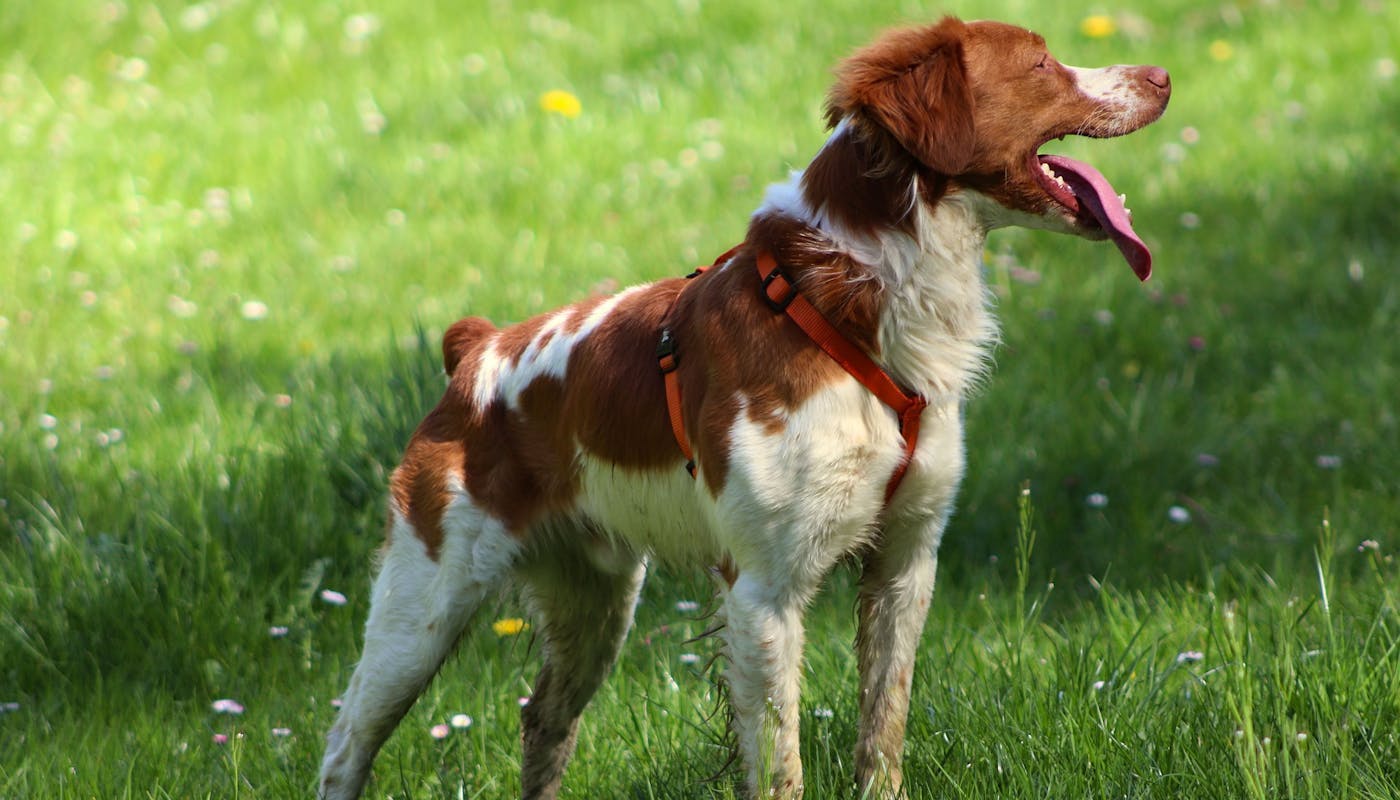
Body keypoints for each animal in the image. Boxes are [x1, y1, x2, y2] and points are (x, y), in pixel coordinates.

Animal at [320, 14, 1170, 800]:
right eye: (1040, 62)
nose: (1163, 75)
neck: (854, 300)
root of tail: (477, 353)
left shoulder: (905, 562)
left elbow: (883, 730)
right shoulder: (764, 588)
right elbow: (781, 762)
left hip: (595, 606)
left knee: (542, 720)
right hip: (422, 607)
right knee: (346, 739)